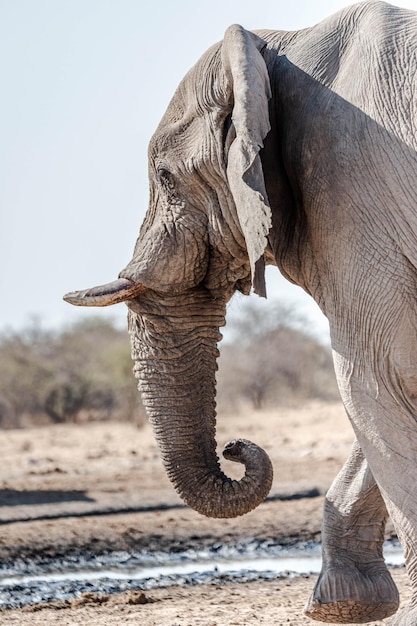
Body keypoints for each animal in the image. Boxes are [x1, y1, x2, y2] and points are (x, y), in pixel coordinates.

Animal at [63, 0, 416, 620]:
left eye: (164, 176)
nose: (235, 447)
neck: (275, 49)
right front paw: (344, 607)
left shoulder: (354, 187)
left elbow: (378, 376)